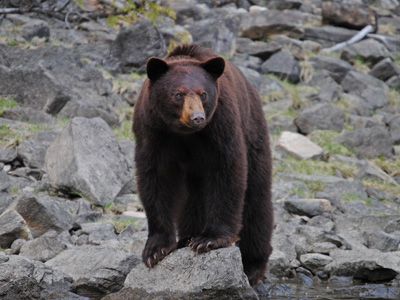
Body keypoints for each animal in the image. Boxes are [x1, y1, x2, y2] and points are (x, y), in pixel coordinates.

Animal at [133, 43, 274, 284]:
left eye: (204, 93)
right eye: (178, 94)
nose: (197, 117)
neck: (184, 134)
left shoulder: (221, 124)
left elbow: (227, 171)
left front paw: (209, 239)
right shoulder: (152, 131)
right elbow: (155, 178)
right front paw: (156, 249)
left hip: (253, 131)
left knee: (256, 197)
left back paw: (252, 264)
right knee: (194, 195)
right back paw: (188, 236)